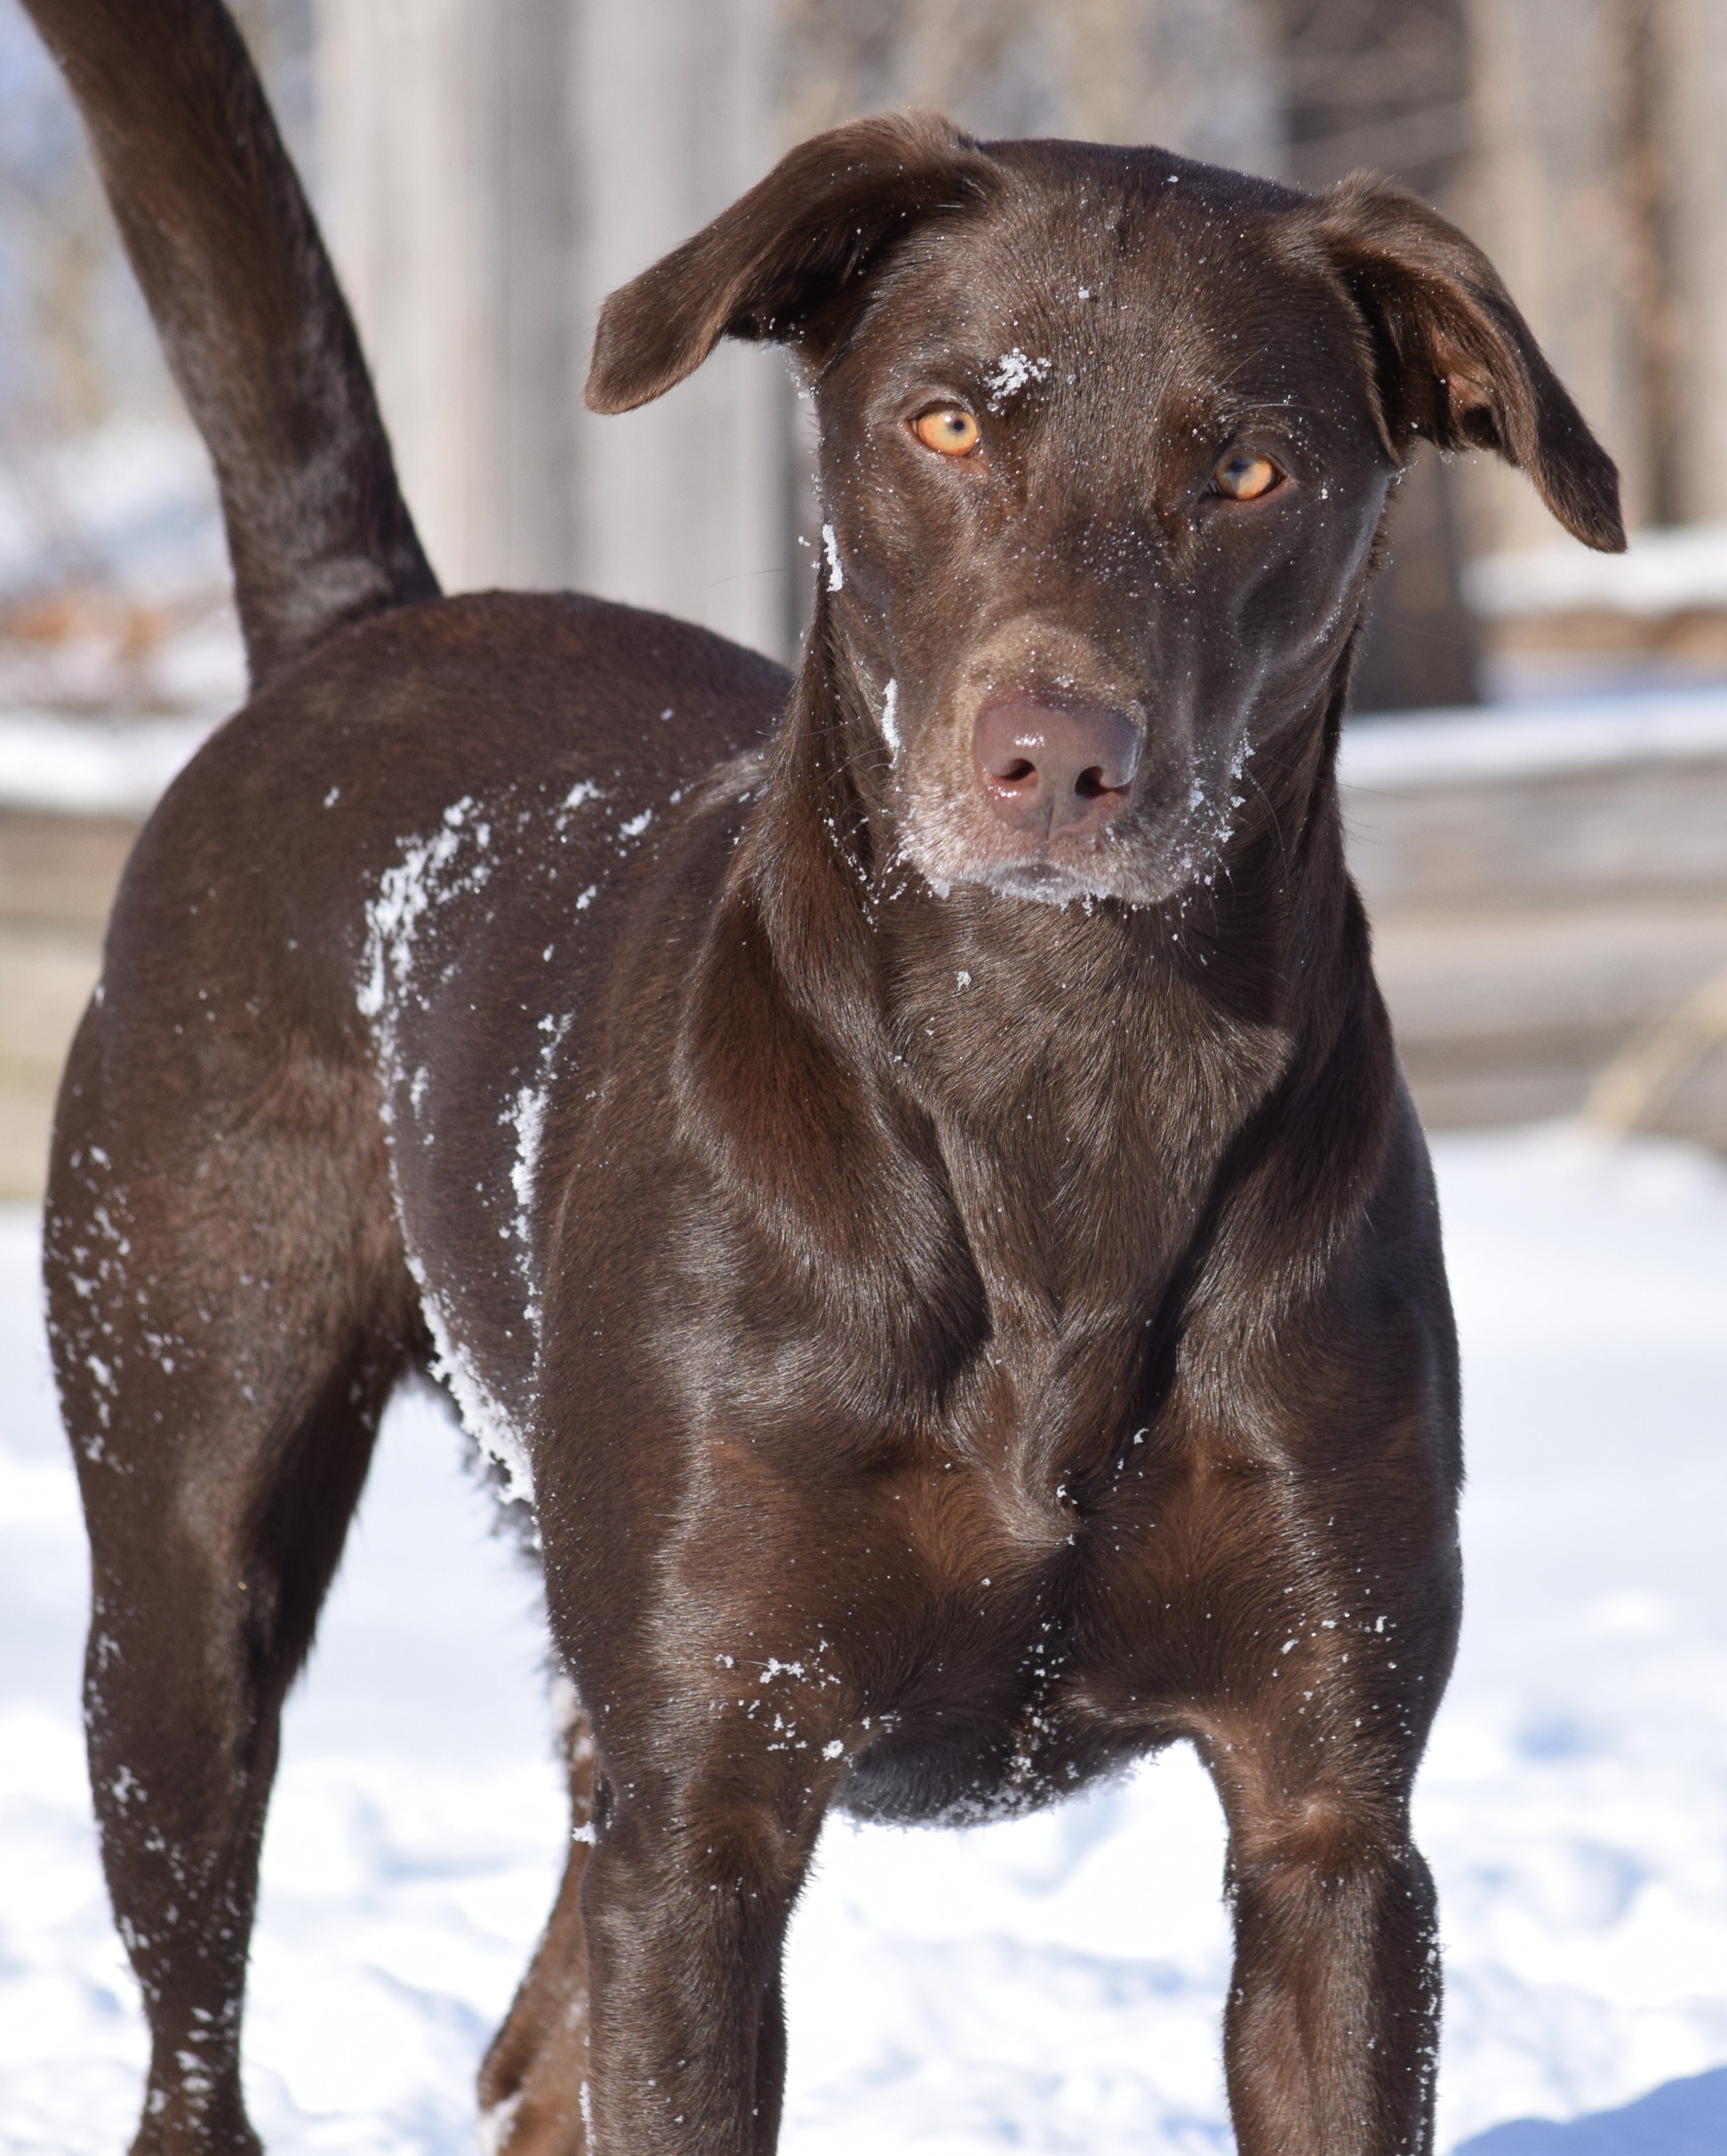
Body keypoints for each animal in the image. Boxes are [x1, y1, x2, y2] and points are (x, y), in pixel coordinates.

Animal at [23, 4, 1621, 2156]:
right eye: (948, 426)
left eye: (1250, 466)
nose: (1058, 755)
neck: (1058, 1079)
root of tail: (361, 631)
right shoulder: (715, 1804)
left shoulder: (1332, 1819)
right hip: (186, 1551)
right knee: (203, 2004)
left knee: (552, 1972)